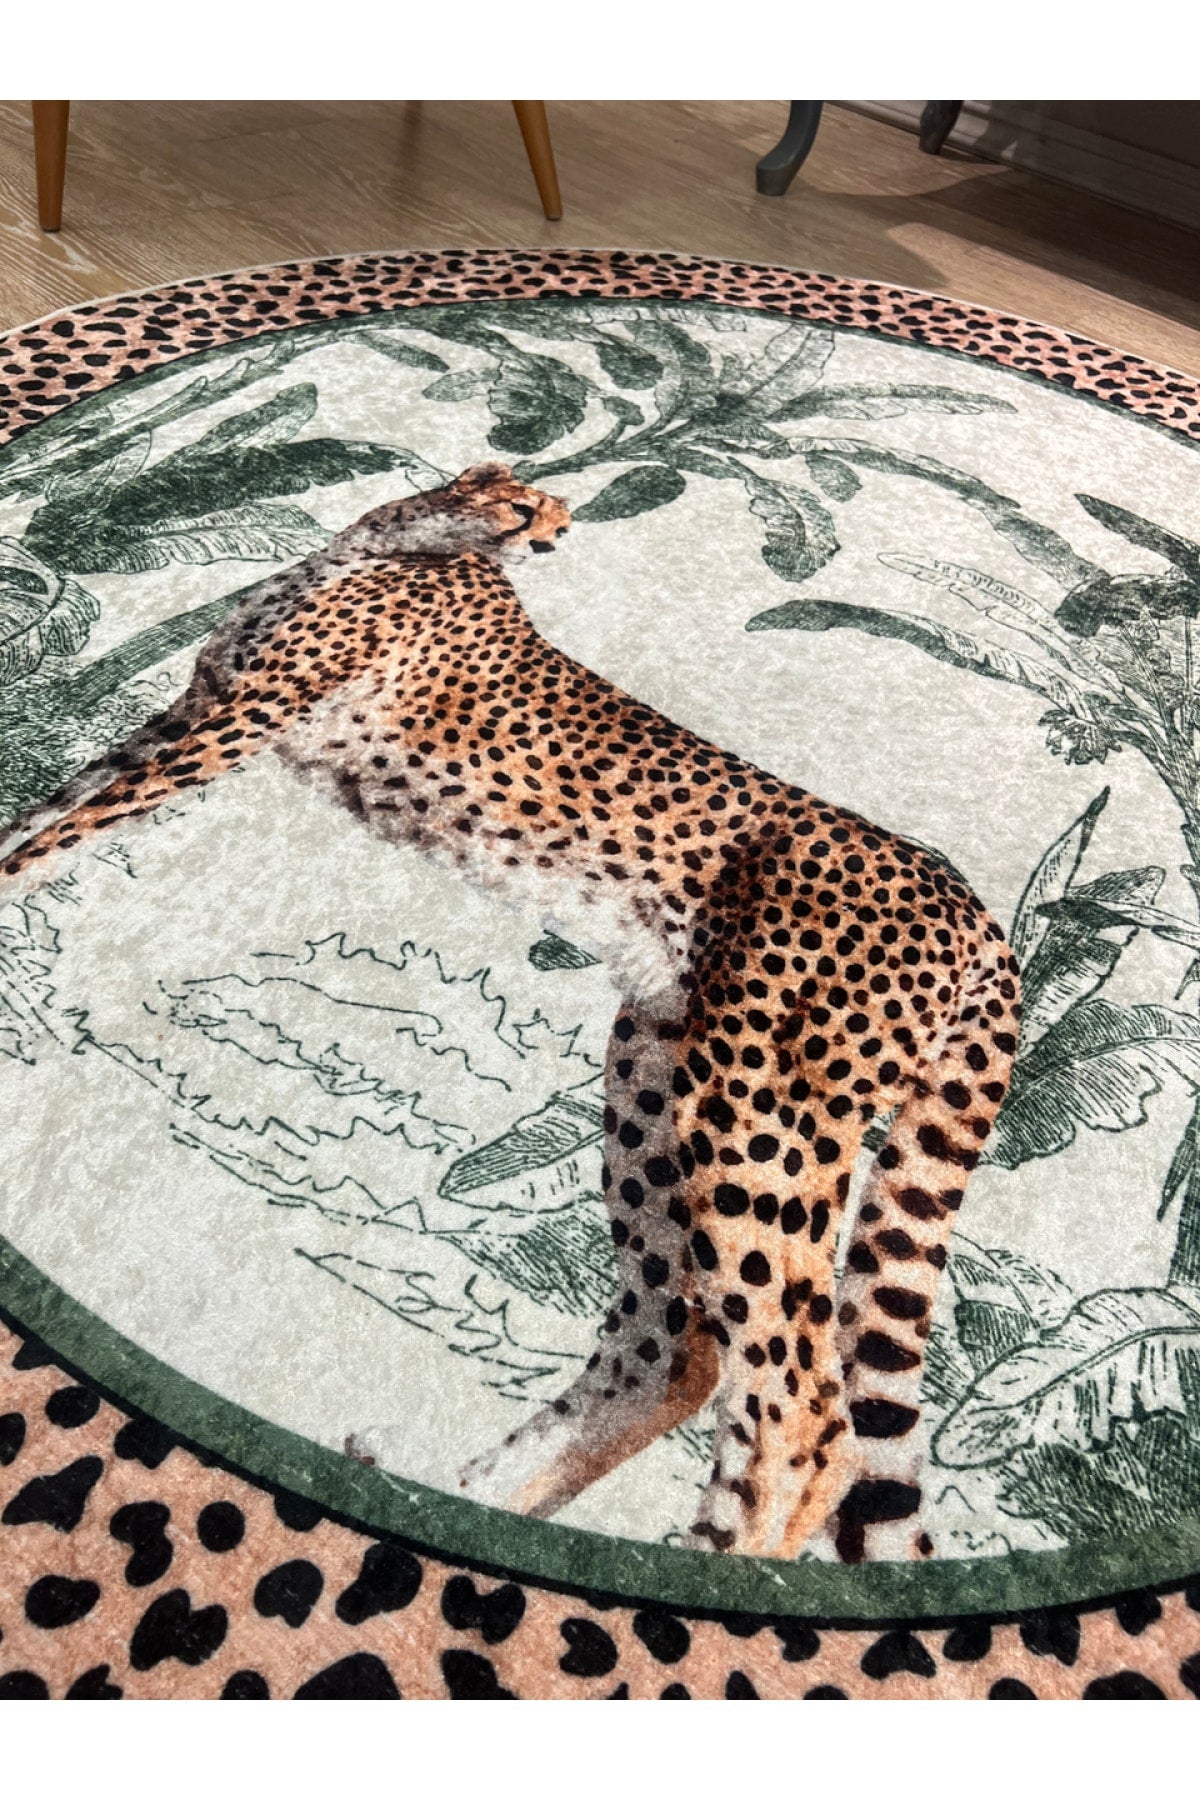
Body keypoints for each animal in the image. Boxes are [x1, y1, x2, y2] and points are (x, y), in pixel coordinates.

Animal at [0, 462, 1020, 1563]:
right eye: (533, 509)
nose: (553, 539)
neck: (399, 539)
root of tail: (974, 907)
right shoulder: (189, 710)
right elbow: (44, 812)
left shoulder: (230, 726)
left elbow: (58, 835)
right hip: (653, 1091)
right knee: (677, 1353)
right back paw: (469, 1501)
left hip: (757, 1117)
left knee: (803, 1411)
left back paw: (709, 1563)